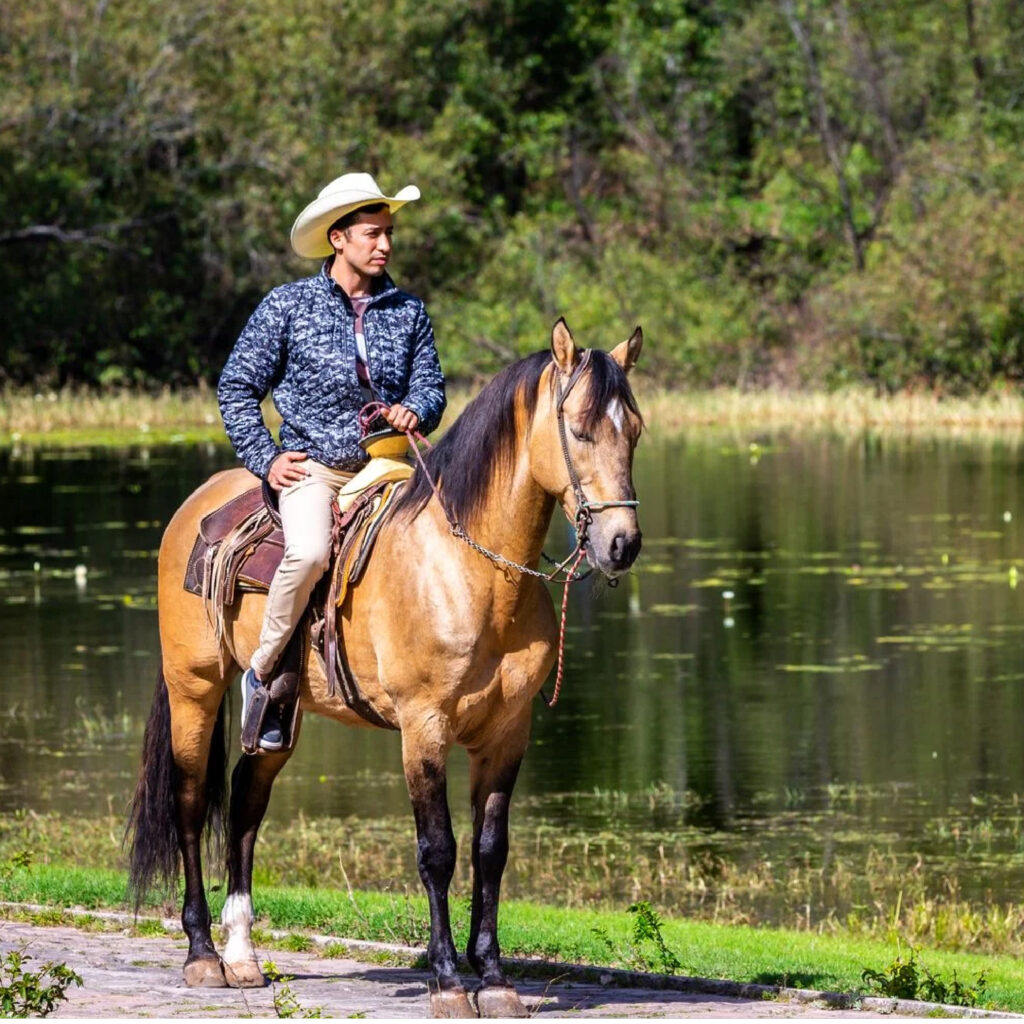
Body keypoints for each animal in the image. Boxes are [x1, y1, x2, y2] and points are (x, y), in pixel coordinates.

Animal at [125, 317, 638, 1015]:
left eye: (633, 430)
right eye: (581, 429)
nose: (622, 544)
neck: (471, 570)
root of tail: (194, 507)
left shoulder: (508, 733)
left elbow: (491, 850)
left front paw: (494, 978)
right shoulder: (423, 728)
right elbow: (438, 851)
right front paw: (448, 980)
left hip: (279, 712)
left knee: (245, 803)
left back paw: (243, 955)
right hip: (194, 689)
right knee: (189, 798)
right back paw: (203, 954)